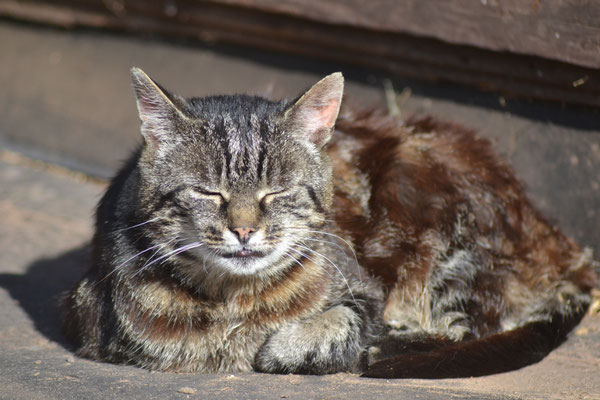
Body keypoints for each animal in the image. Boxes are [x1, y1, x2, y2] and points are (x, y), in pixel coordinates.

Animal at [61, 67, 596, 376]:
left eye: (276, 192)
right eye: (209, 193)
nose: (243, 230)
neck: (233, 302)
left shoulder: (364, 290)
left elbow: (335, 324)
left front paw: (286, 346)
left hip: (433, 228)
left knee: (470, 327)